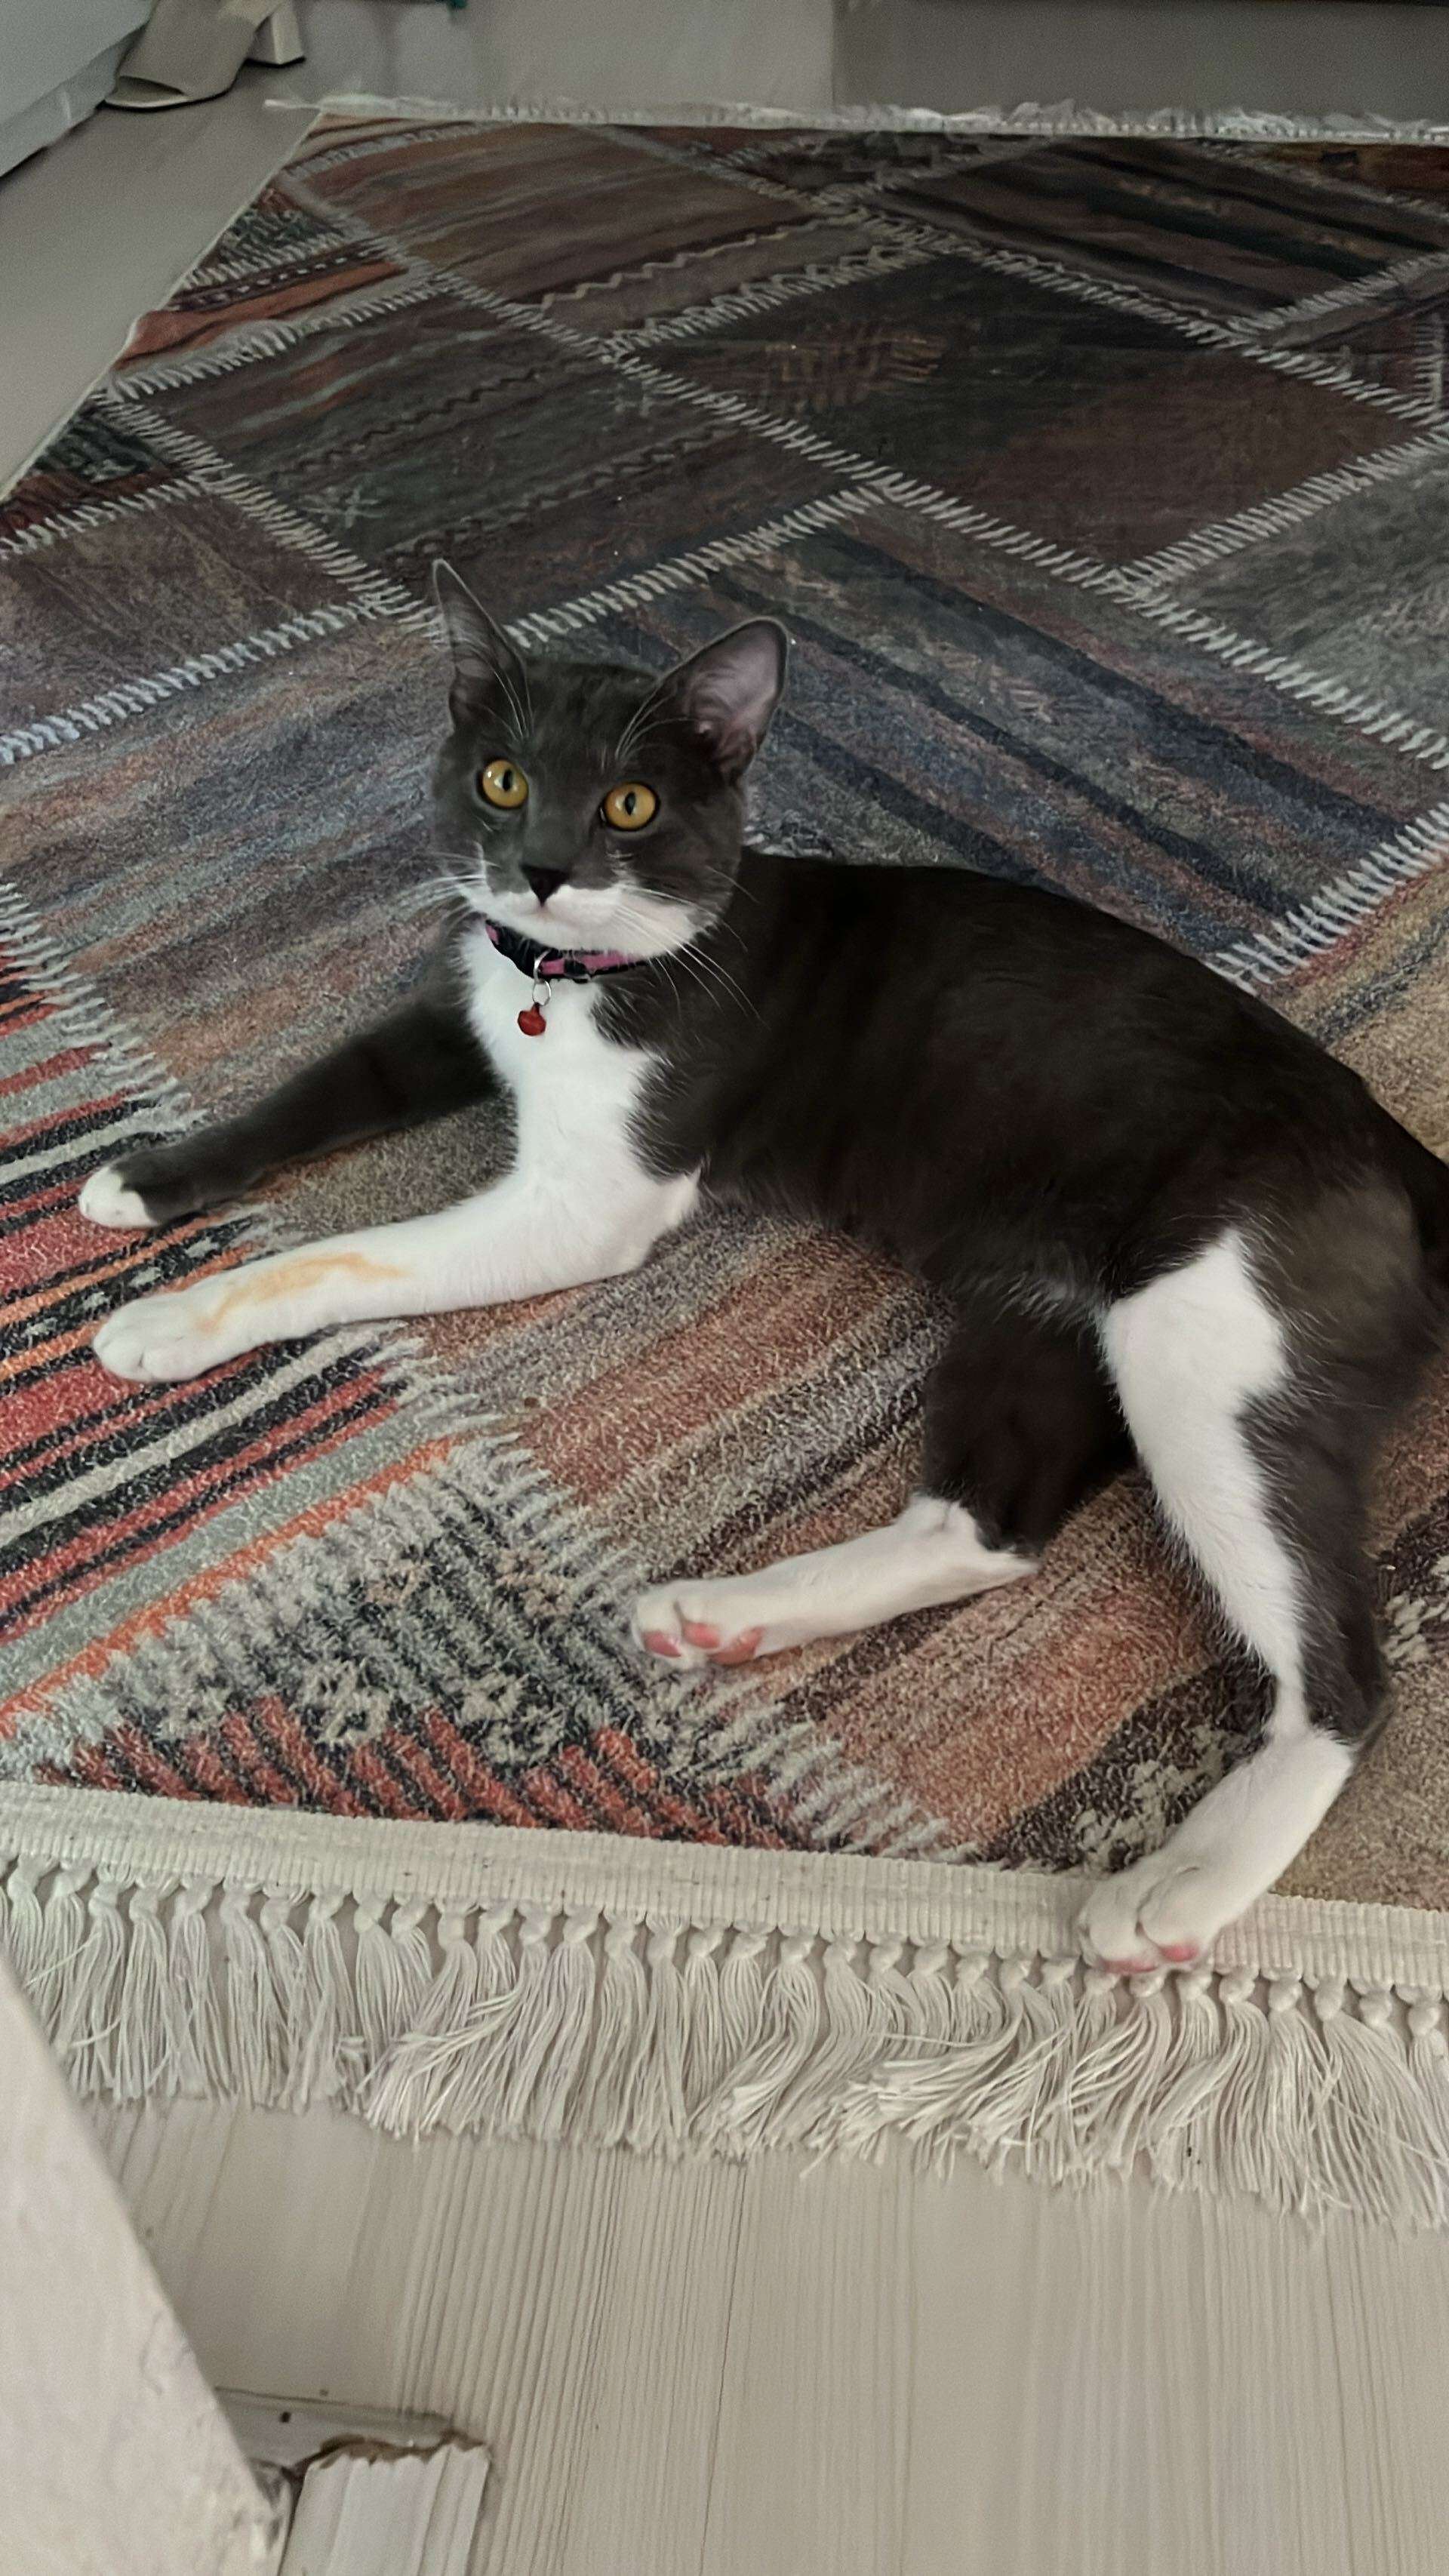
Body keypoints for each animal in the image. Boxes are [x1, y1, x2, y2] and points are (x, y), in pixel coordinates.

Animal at [81, 560, 1449, 1973]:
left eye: (629, 803)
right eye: (504, 778)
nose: (541, 870)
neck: (569, 981)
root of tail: (1394, 1151)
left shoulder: (588, 1203)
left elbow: (344, 1256)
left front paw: (173, 1318)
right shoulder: (457, 1011)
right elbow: (320, 1087)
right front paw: (147, 1179)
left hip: (1205, 1350)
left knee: (1347, 1664)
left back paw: (1186, 1878)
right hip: (1049, 1302)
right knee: (987, 1524)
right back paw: (732, 1613)